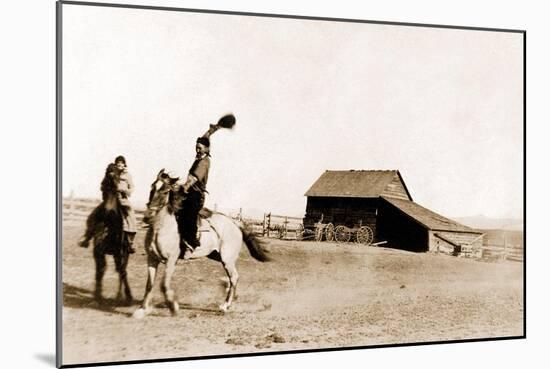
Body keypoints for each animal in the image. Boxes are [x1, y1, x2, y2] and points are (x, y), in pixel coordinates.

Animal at [89, 162, 136, 304]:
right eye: (107, 172)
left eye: (116, 173)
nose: (112, 184)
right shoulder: (98, 252)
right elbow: (100, 271)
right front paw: (97, 295)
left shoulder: (120, 252)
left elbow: (122, 271)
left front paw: (125, 296)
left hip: (124, 253)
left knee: (123, 271)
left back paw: (124, 295)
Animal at [134, 169, 272, 316]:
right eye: (152, 187)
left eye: (165, 191)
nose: (147, 216)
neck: (161, 228)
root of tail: (234, 222)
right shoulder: (152, 259)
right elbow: (149, 285)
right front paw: (142, 309)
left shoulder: (171, 260)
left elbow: (163, 284)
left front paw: (173, 306)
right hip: (217, 255)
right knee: (232, 278)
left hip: (227, 259)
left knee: (234, 277)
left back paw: (225, 305)